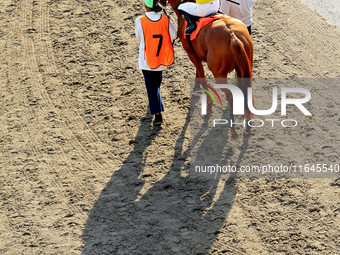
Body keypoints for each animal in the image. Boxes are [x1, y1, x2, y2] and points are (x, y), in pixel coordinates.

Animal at [159, 0, 252, 137]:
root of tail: (232, 36)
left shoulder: (191, 53)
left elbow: (203, 77)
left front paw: (208, 105)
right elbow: (199, 73)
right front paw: (196, 84)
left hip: (219, 74)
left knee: (230, 96)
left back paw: (234, 129)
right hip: (247, 66)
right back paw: (248, 126)